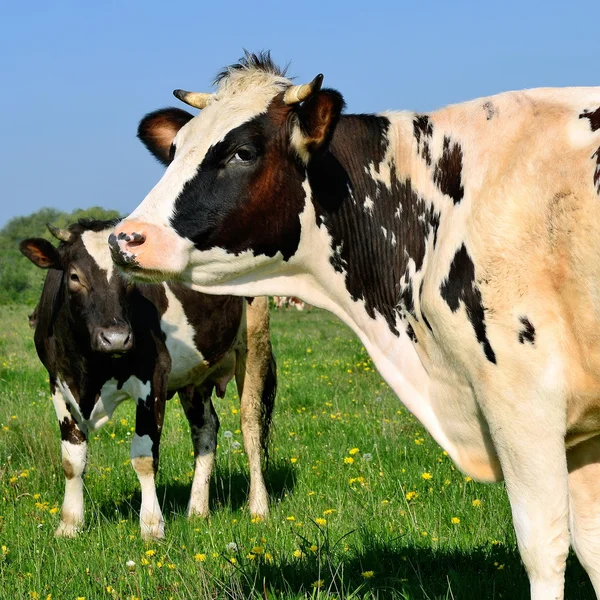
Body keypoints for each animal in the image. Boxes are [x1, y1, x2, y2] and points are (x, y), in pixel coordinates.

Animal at [19, 219, 276, 540]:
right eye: (75, 276)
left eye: (130, 278)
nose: (116, 338)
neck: (90, 370)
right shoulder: (58, 383)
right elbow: (72, 459)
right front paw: (69, 524)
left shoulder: (153, 377)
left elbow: (143, 456)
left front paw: (152, 525)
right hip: (196, 375)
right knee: (206, 429)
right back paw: (197, 511)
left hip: (254, 342)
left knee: (251, 426)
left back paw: (258, 508)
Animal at [110, 52, 600, 600]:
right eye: (176, 148)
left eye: (242, 152)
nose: (126, 238)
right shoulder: (584, 429)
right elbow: (592, 547)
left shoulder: (524, 401)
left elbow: (545, 547)